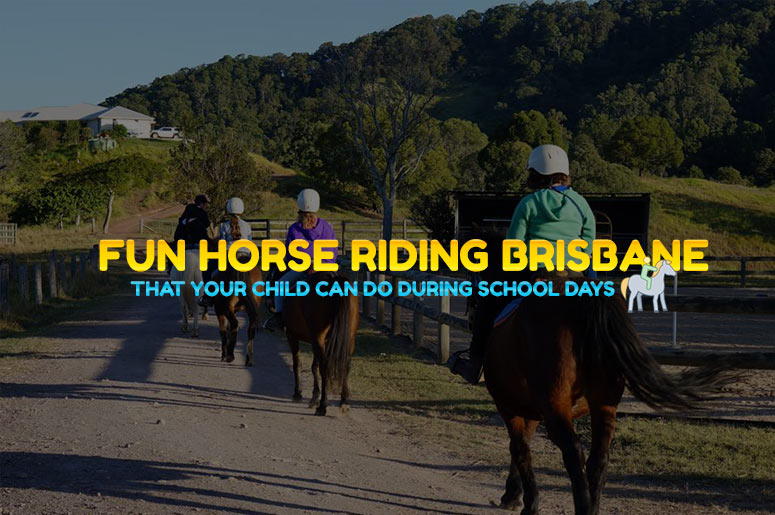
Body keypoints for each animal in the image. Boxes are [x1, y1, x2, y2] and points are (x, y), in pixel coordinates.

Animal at [281, 272, 359, 416]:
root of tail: (334, 278)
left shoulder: (291, 334)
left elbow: (297, 364)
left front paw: (298, 394)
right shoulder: (316, 340)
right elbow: (313, 366)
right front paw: (314, 397)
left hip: (317, 337)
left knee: (325, 367)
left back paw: (323, 406)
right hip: (348, 338)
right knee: (345, 364)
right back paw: (344, 402)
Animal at [472, 233, 735, 514]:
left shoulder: (509, 406)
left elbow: (519, 449)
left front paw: (526, 502)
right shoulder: (529, 409)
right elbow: (523, 447)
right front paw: (514, 494)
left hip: (555, 402)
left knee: (573, 451)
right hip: (603, 404)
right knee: (598, 458)